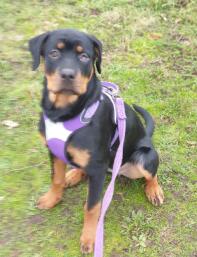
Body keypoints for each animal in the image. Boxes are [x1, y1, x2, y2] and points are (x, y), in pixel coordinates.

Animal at [28, 29, 164, 253]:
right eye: (54, 53)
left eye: (84, 56)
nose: (68, 75)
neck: (63, 113)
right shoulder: (53, 150)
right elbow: (56, 179)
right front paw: (51, 199)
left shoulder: (98, 168)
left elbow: (92, 207)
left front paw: (89, 239)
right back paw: (74, 174)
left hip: (143, 157)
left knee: (151, 174)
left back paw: (154, 190)